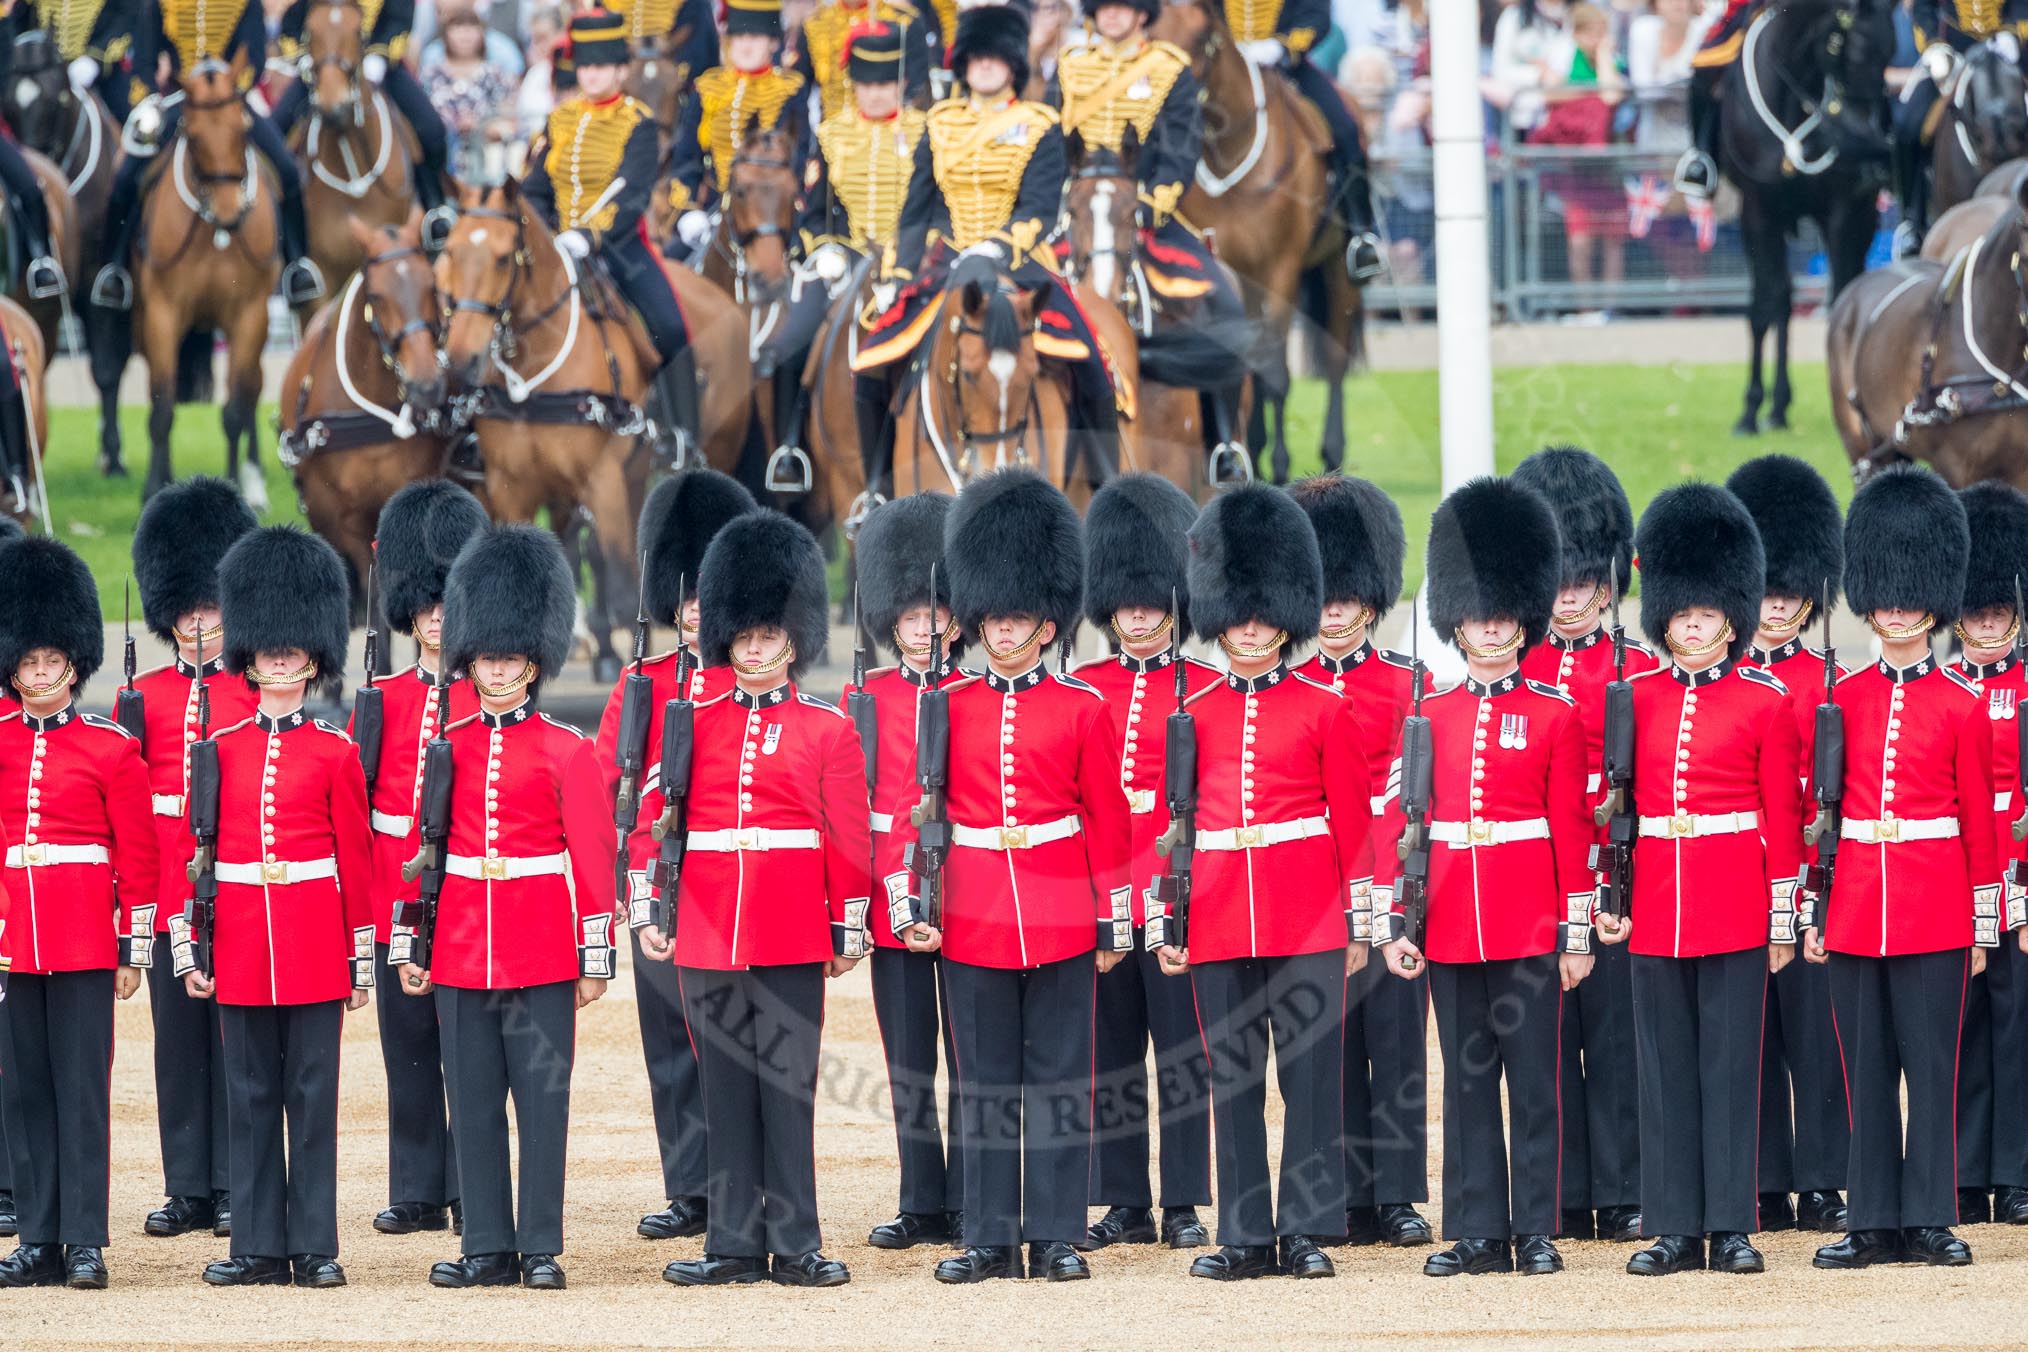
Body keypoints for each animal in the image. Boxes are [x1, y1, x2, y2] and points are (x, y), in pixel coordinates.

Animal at [132, 54, 277, 506]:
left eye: (244, 128)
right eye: (192, 134)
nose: (231, 215)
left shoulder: (249, 315)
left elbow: (234, 411)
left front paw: (233, 487)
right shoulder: (162, 314)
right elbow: (162, 407)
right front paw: (154, 490)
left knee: (252, 391)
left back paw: (255, 478)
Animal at [1719, 0, 1890, 433]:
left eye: (1890, 55)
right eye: (1854, 52)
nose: (1875, 152)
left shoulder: (1844, 210)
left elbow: (1843, 295)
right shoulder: (1758, 212)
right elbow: (1768, 305)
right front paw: (1754, 408)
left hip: (1863, 219)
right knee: (1776, 299)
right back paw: (1776, 407)